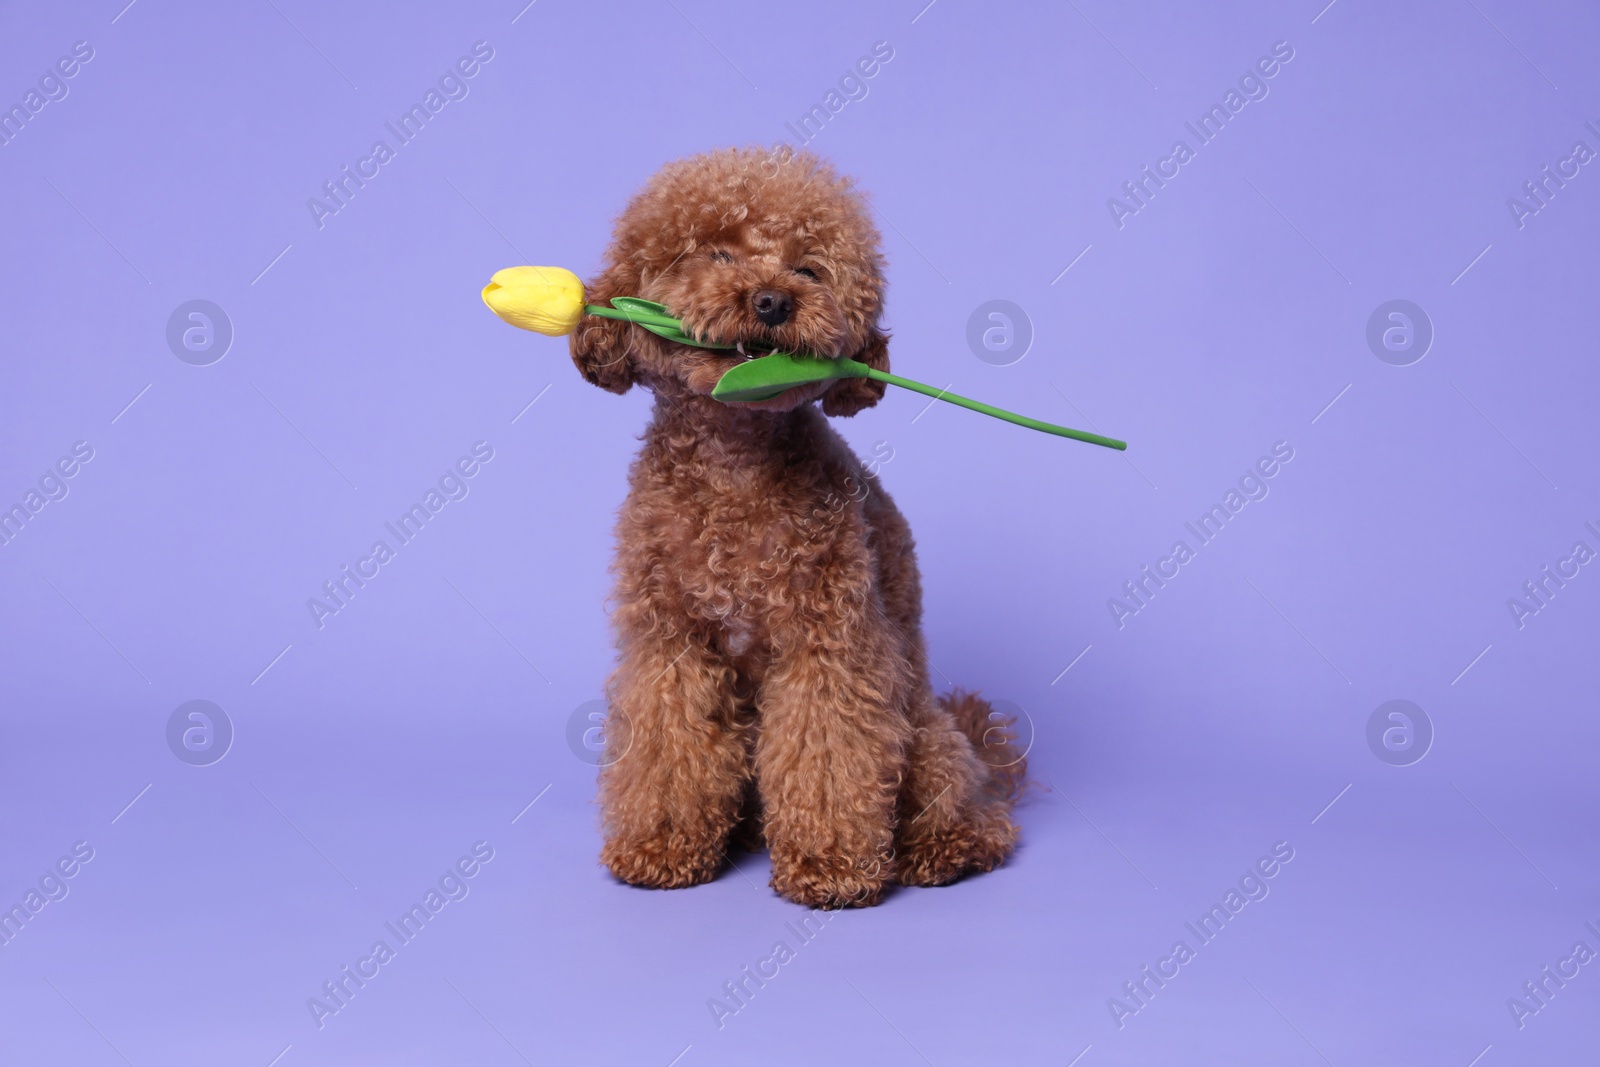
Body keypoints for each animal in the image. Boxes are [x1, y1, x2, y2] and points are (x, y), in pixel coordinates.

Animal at [572, 146, 1024, 908]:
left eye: (810, 269)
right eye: (716, 253)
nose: (771, 300)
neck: (734, 465)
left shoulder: (829, 644)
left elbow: (827, 753)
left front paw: (831, 863)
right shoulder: (671, 643)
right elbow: (669, 747)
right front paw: (662, 845)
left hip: (924, 732)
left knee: (972, 812)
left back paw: (941, 849)